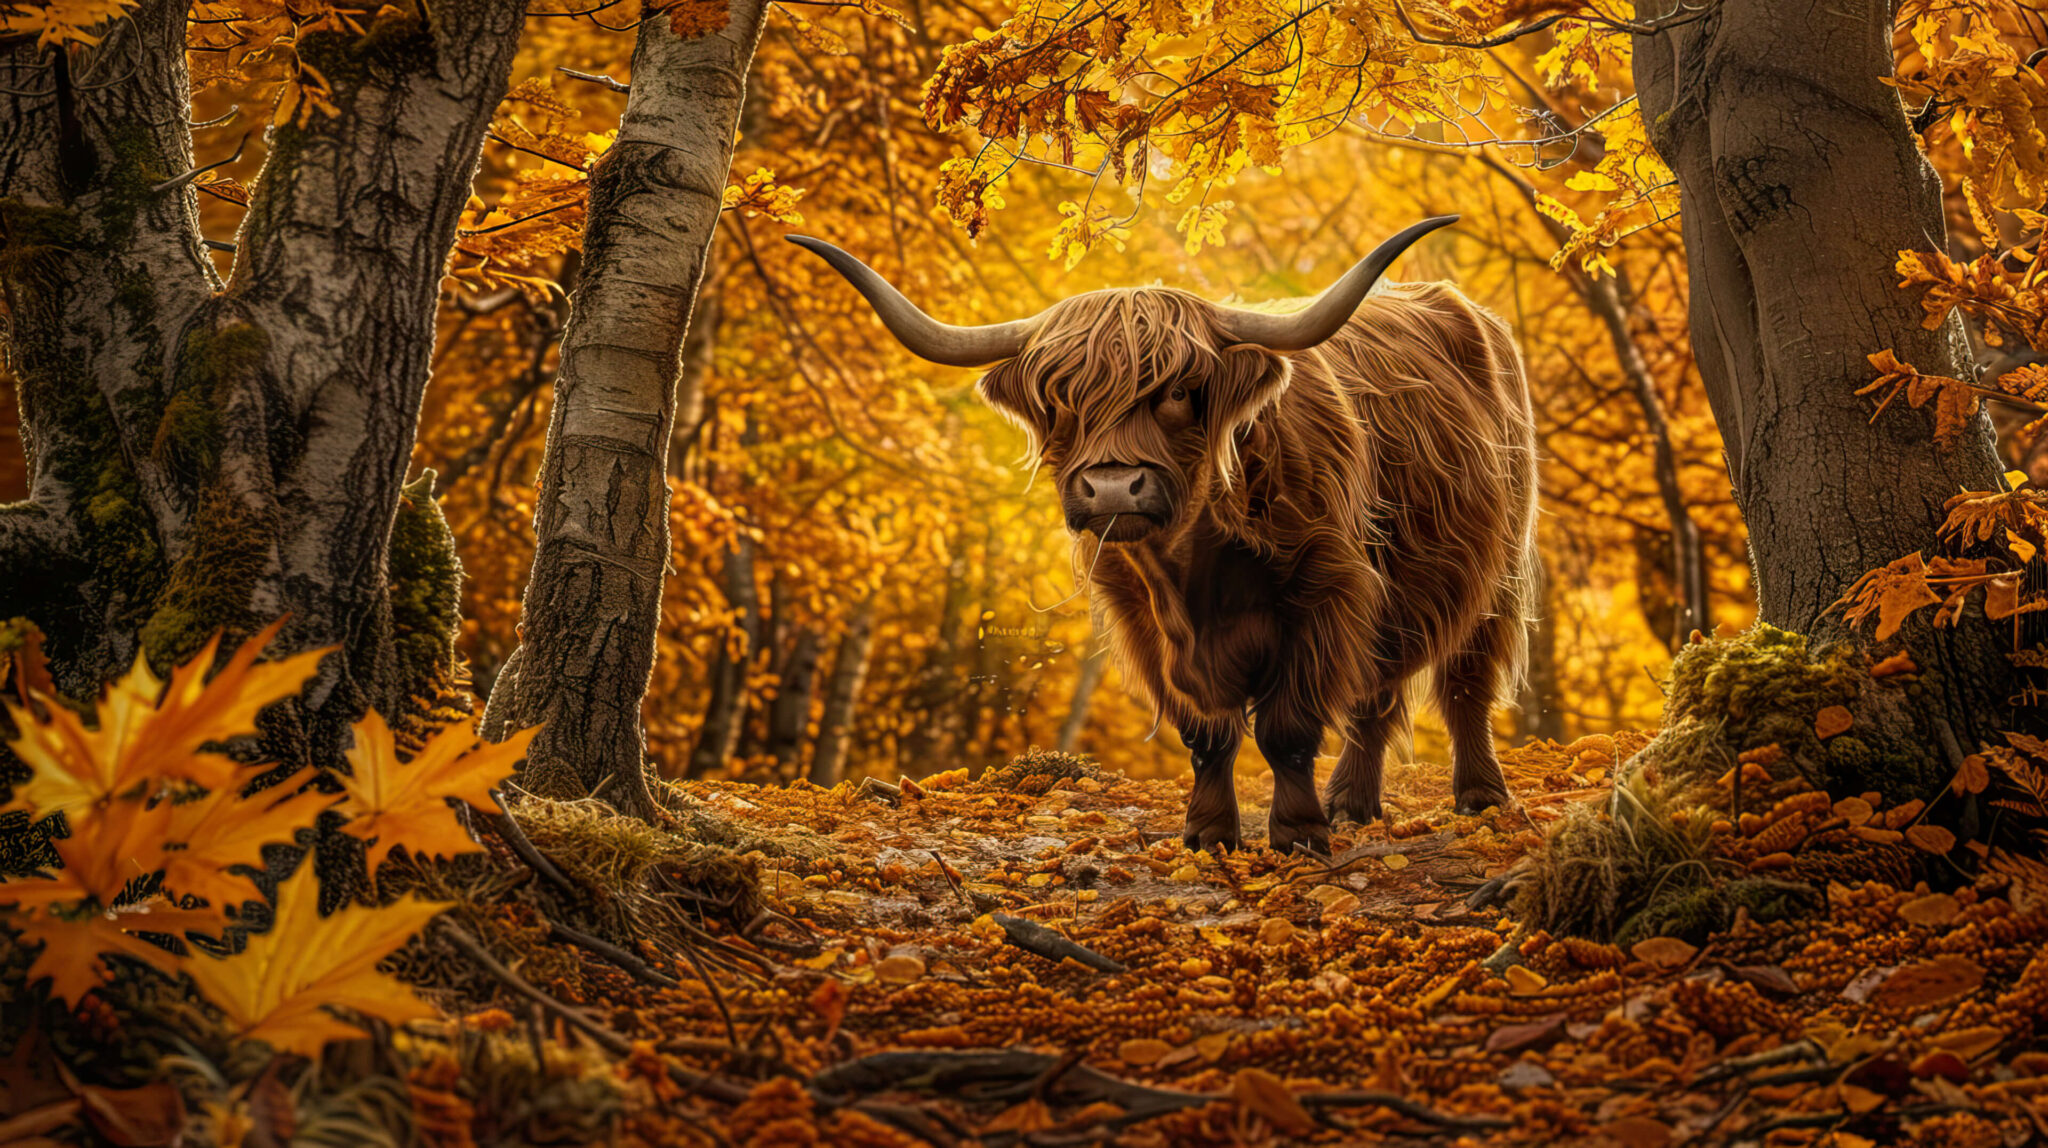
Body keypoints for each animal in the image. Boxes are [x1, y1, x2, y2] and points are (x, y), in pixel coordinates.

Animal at [791, 217, 1538, 855]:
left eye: (1178, 391)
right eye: (1058, 399)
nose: (1113, 488)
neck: (1193, 567)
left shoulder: (1327, 591)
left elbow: (1288, 729)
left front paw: (1298, 834)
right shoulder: (1141, 617)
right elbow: (1205, 735)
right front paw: (1209, 834)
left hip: (1496, 569)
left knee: (1464, 684)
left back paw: (1478, 798)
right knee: (1377, 696)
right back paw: (1353, 804)